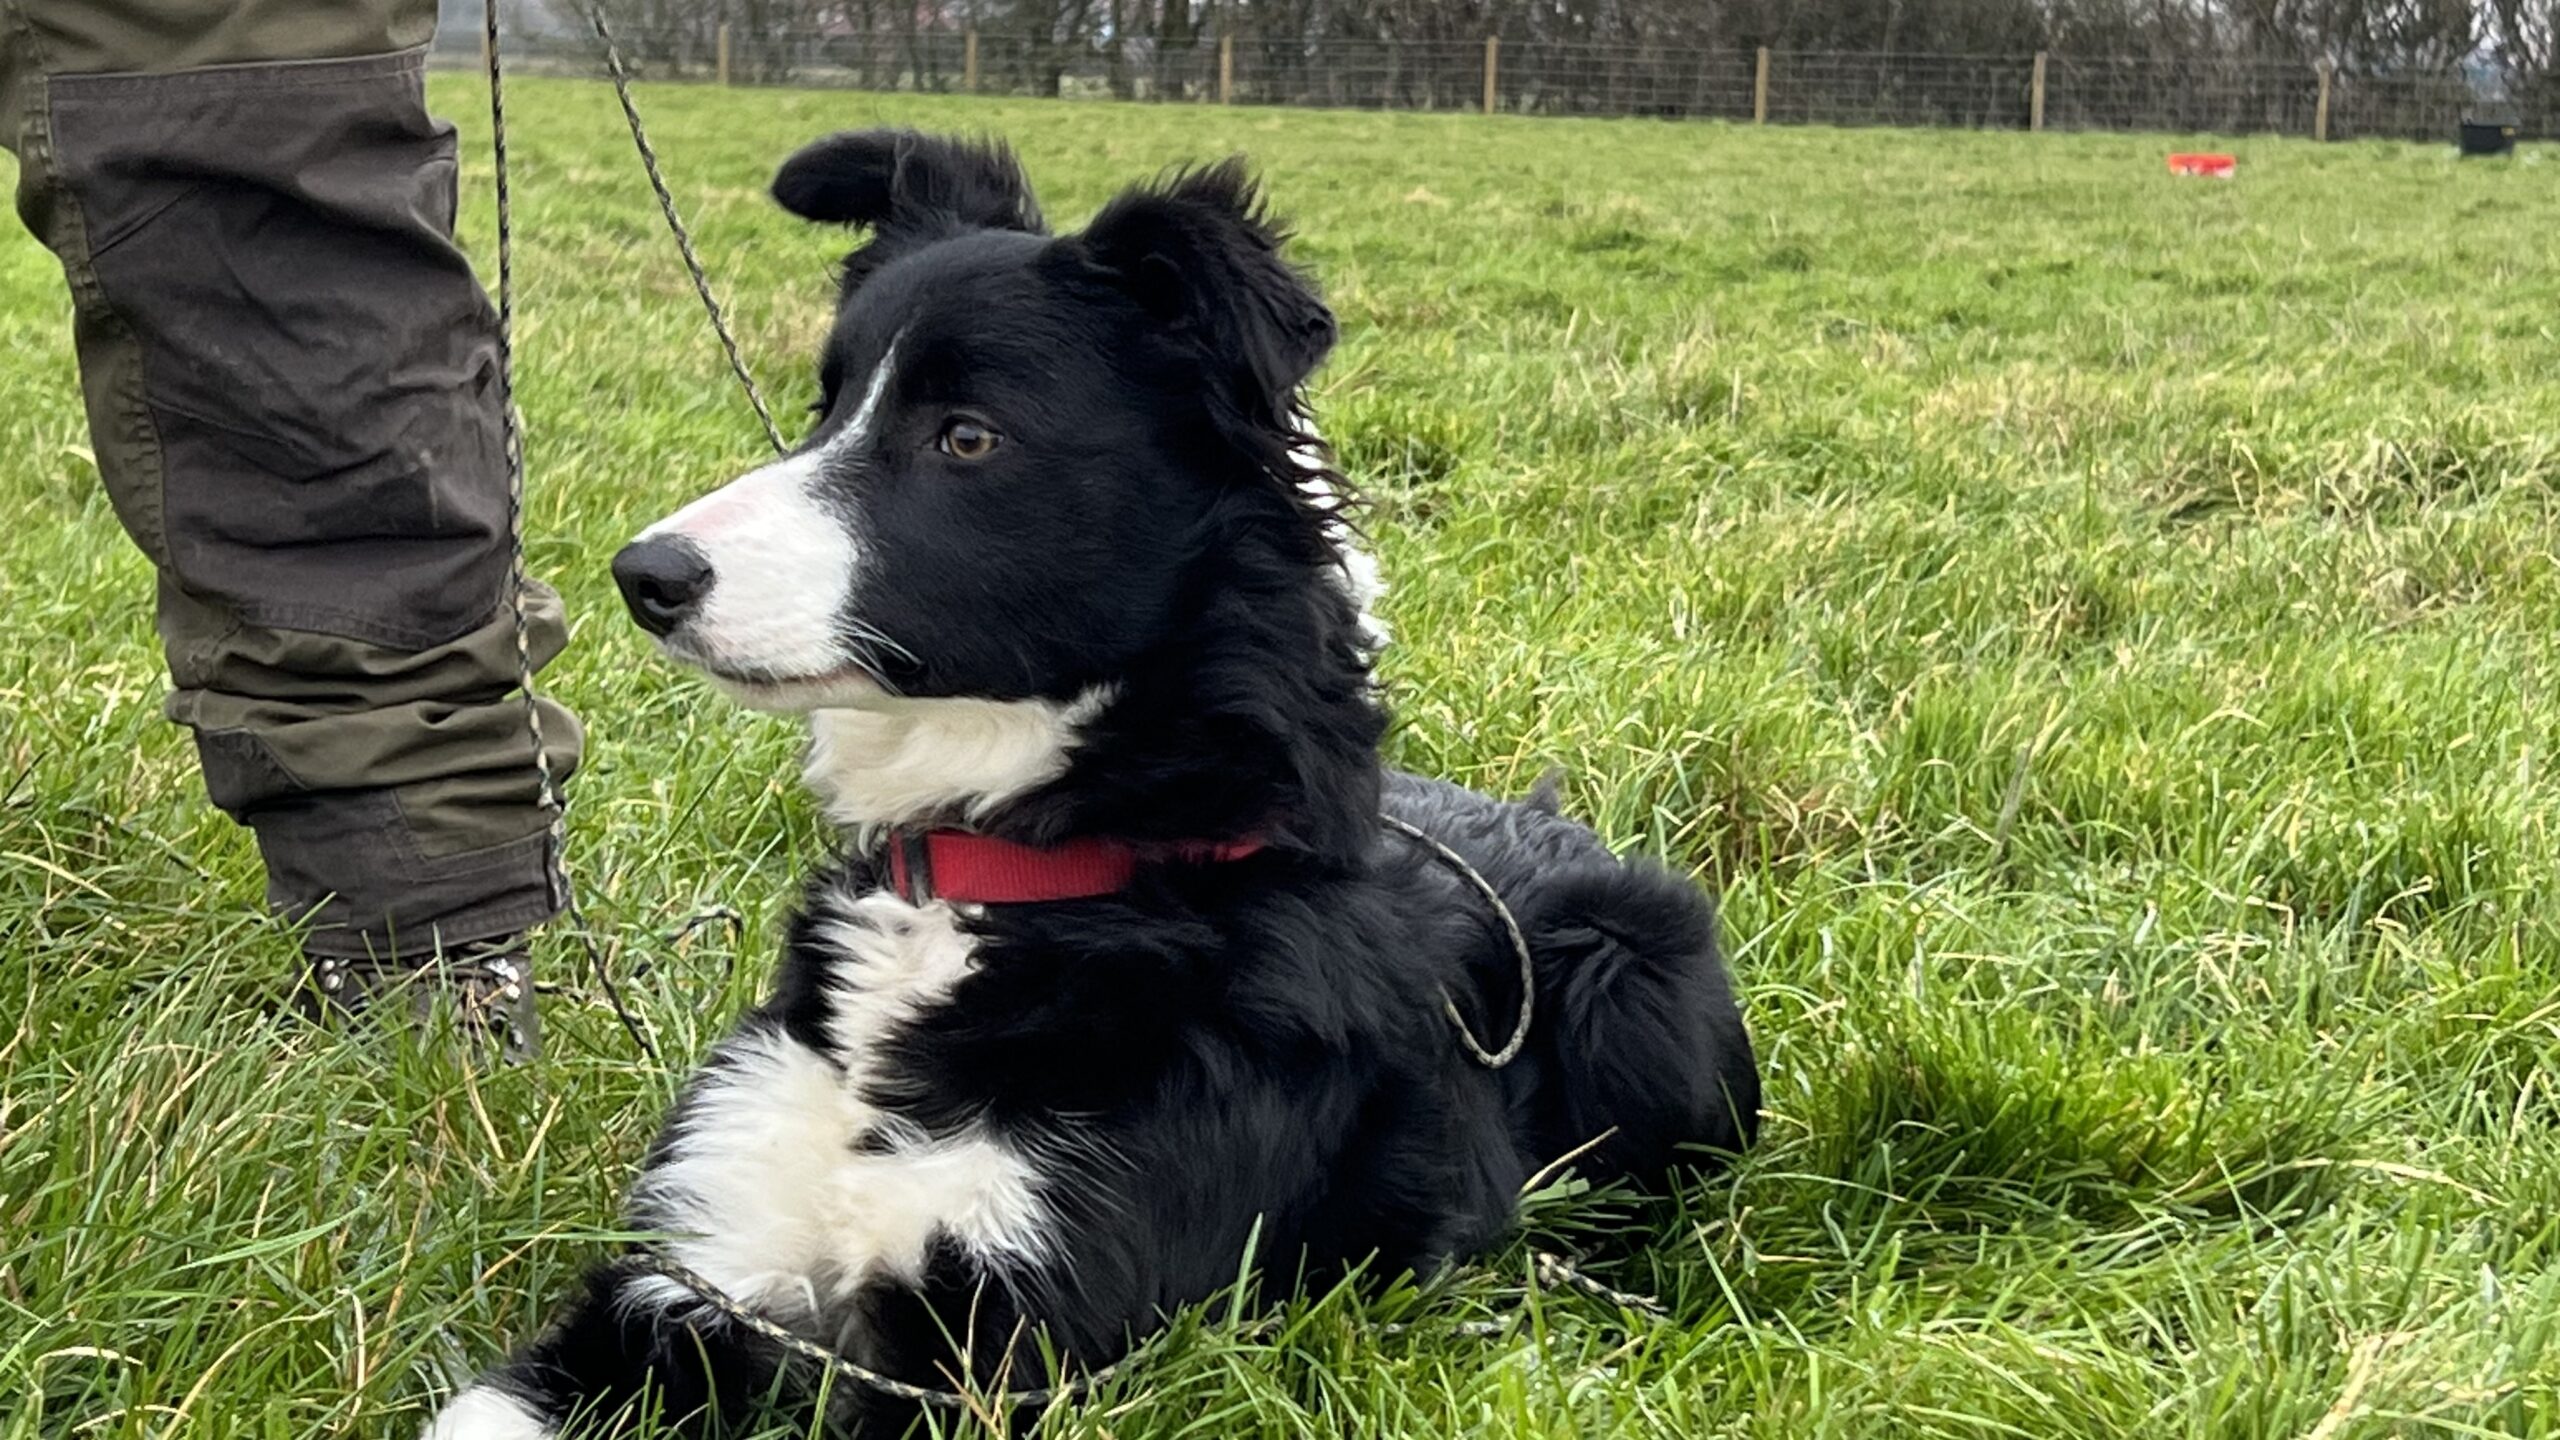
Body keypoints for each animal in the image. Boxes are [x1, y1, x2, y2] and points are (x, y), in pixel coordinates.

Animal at [435, 128, 1761, 1424]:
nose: (643, 575)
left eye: (968, 436)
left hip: (1631, 980)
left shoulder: (995, 1347)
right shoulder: (701, 1265)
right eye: (825, 405)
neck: (1002, 871)